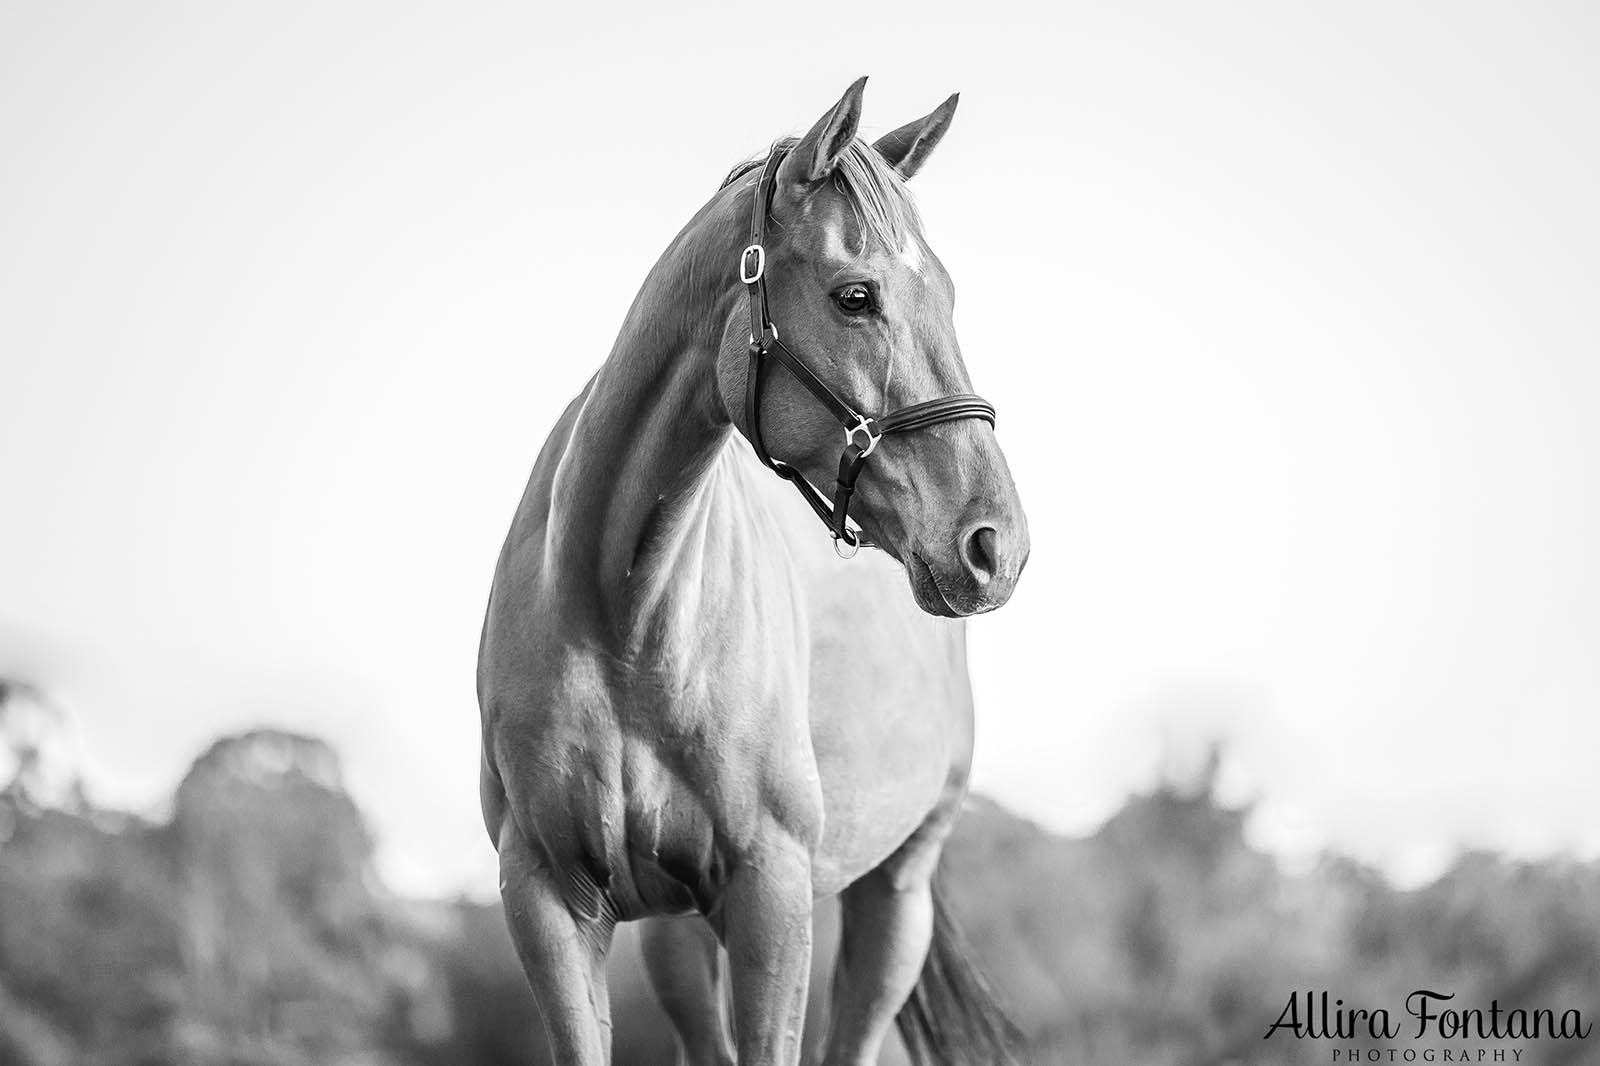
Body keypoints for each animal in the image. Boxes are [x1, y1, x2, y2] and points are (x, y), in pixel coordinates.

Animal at [473, 76, 1024, 1062]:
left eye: (950, 295)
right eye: (856, 296)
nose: (994, 543)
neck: (617, 612)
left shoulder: (771, 897)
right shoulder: (547, 899)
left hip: (895, 899)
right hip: (676, 932)